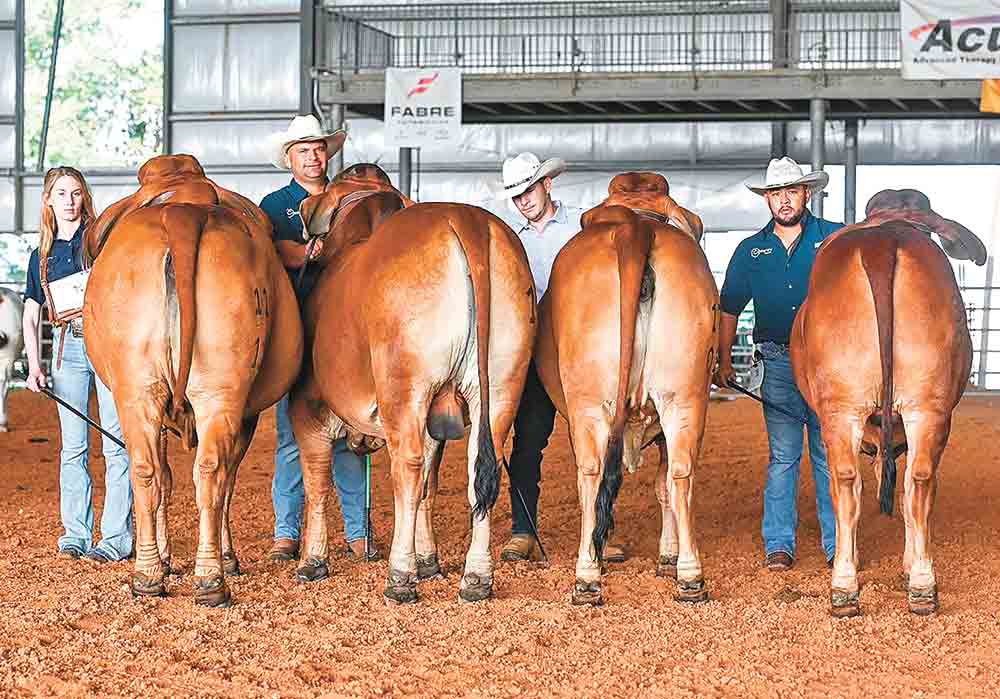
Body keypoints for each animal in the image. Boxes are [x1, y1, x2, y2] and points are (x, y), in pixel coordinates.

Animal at [84, 154, 302, 608]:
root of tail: (182, 210)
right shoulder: (247, 413)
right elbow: (217, 479)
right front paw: (224, 557)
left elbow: (171, 477)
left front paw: (171, 558)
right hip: (218, 389)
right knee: (210, 473)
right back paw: (208, 577)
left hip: (140, 388)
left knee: (151, 470)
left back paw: (152, 575)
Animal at [292, 163, 540, 600]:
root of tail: (466, 219)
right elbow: (431, 483)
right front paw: (429, 560)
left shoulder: (308, 409)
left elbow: (317, 483)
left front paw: (312, 561)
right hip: (501, 384)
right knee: (480, 468)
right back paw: (476, 578)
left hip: (404, 386)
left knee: (407, 466)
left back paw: (399, 576)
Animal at [540, 174, 720, 608]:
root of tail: (635, 226)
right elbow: (662, 484)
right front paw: (667, 557)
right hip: (684, 398)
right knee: (681, 473)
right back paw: (690, 576)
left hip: (589, 404)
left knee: (591, 474)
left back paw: (588, 574)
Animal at [792, 187, 988, 616]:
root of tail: (882, 239)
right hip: (925, 408)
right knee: (917, 480)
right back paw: (918, 581)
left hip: (849, 409)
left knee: (853, 482)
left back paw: (850, 585)